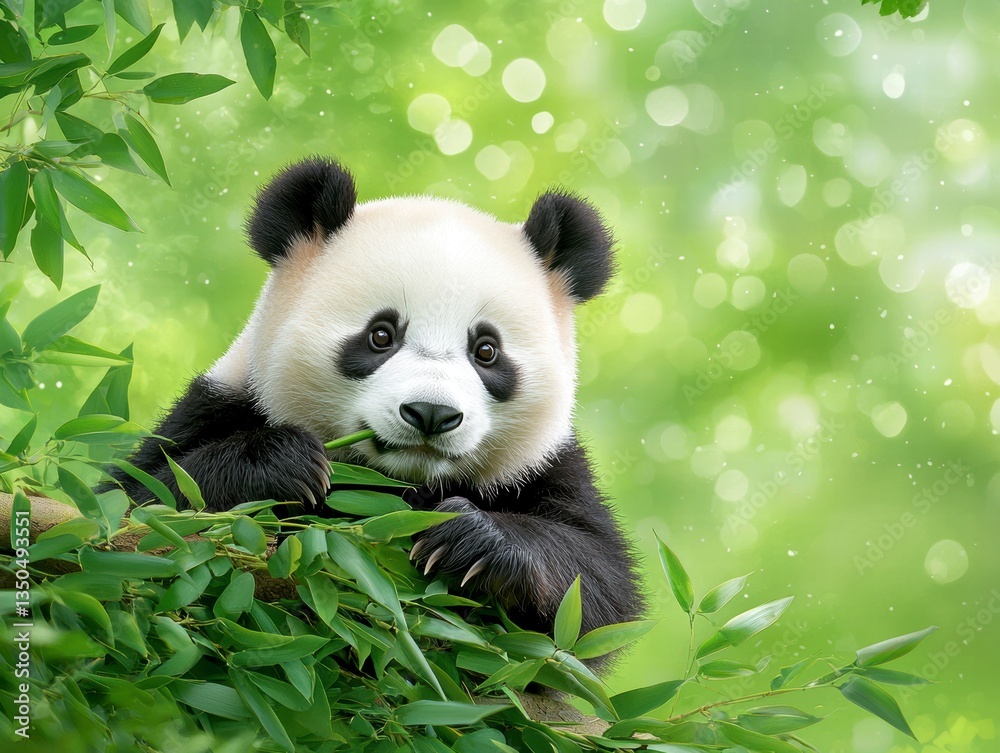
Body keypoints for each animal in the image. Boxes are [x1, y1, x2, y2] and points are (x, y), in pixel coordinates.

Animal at [110, 157, 643, 637]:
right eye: (381, 335)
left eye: (487, 351)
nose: (431, 413)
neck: (394, 484)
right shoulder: (221, 404)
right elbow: (142, 511)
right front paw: (286, 464)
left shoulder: (544, 465)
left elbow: (596, 590)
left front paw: (468, 539)